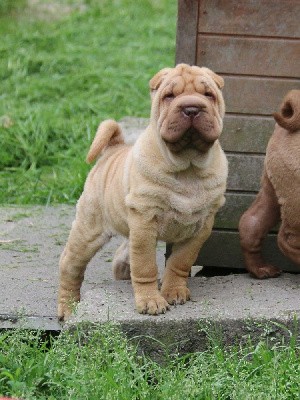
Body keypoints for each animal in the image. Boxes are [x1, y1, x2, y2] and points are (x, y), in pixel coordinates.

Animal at [56, 63, 227, 318]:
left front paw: (174, 290)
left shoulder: (201, 226)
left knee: (122, 254)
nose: (192, 108)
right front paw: (150, 301)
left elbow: (180, 262)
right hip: (89, 229)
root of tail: (113, 148)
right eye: (169, 96)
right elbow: (145, 266)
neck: (188, 167)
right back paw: (67, 308)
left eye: (208, 95)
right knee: (70, 266)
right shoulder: (145, 221)